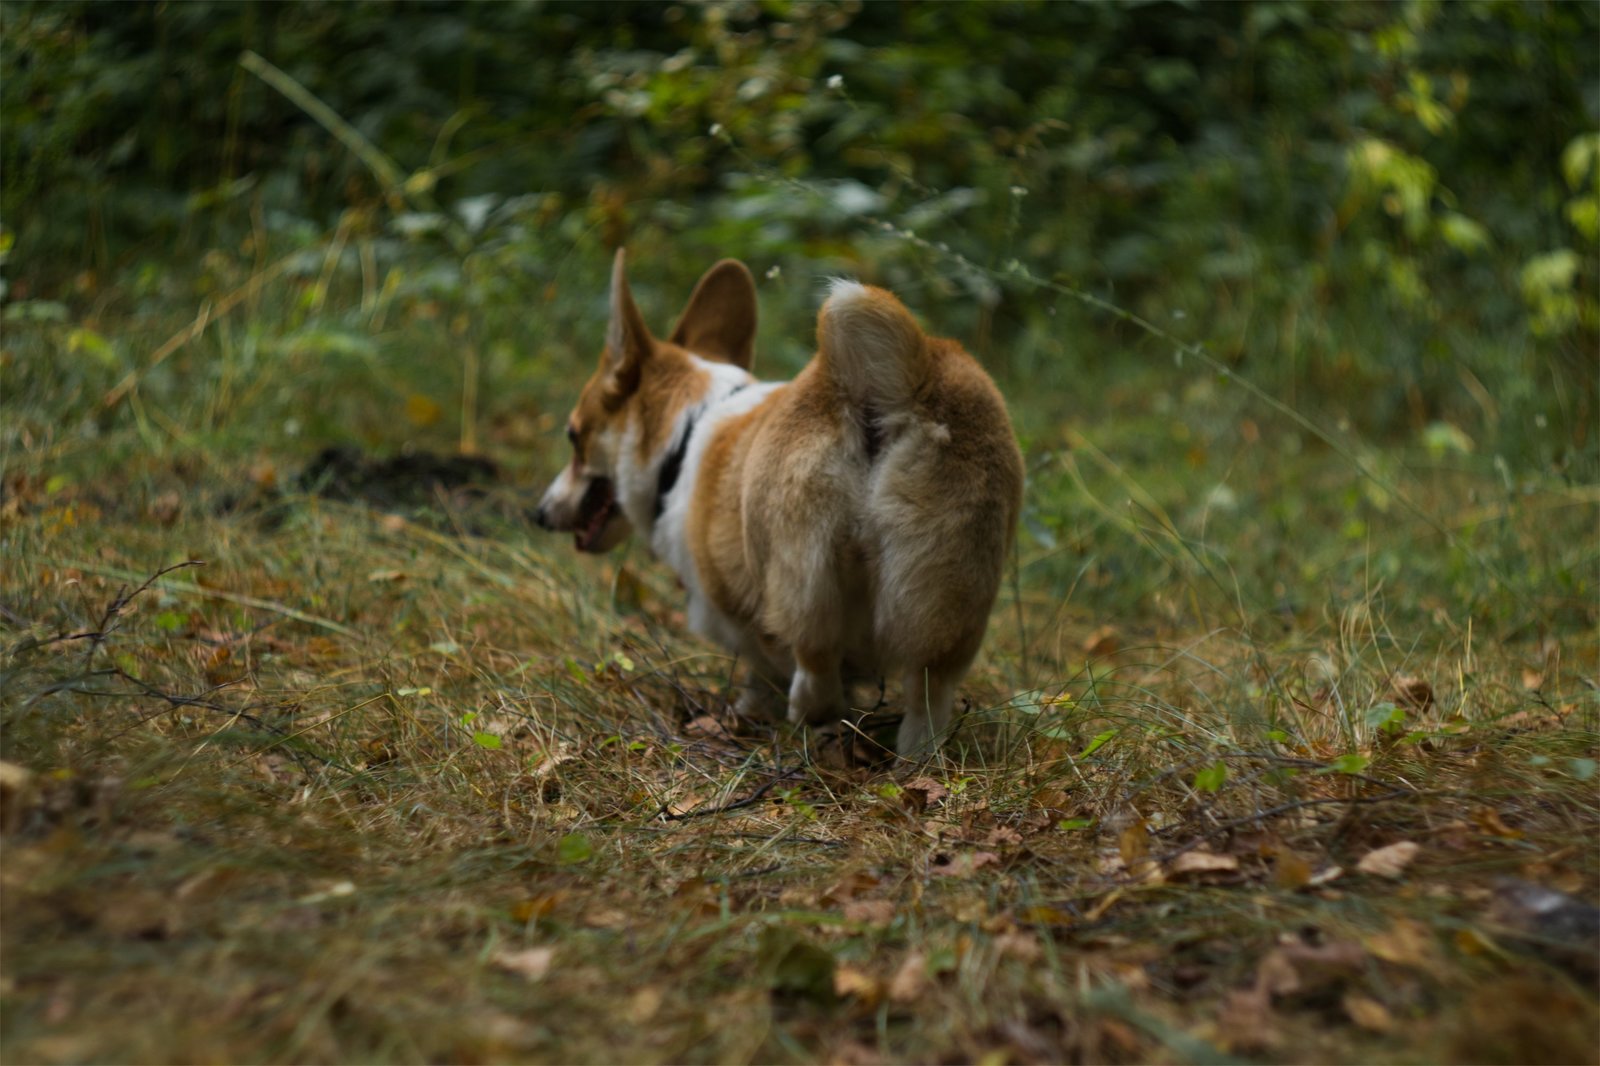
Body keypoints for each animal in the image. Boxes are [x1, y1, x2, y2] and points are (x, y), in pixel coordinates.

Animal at [537, 252, 1024, 755]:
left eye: (574, 437)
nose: (539, 514)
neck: (686, 431)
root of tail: (886, 380)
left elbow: (761, 672)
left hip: (801, 570)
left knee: (815, 669)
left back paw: (809, 718)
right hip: (953, 593)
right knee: (928, 700)